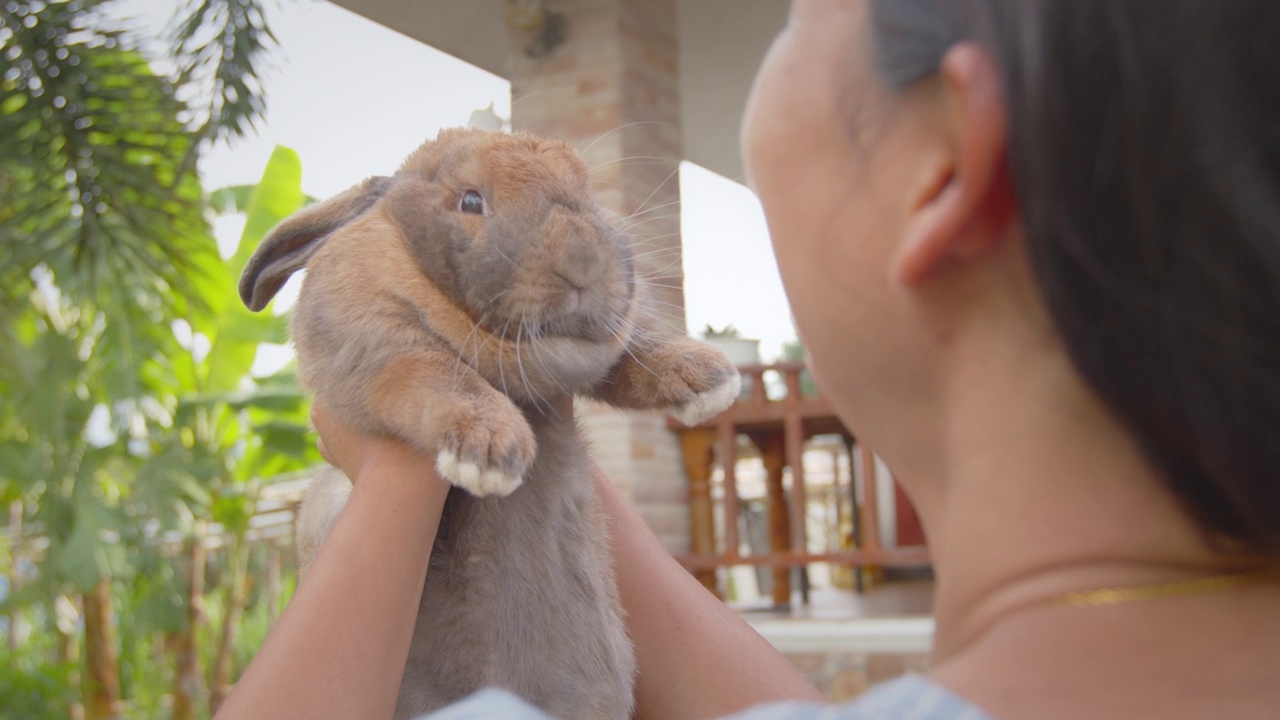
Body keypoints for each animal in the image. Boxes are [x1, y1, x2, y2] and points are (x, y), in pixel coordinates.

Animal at [239, 128, 742, 717]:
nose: (583, 261)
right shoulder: (375, 341)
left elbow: (635, 351)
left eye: (587, 193)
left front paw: (712, 380)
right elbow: (434, 372)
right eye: (471, 201)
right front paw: (492, 453)